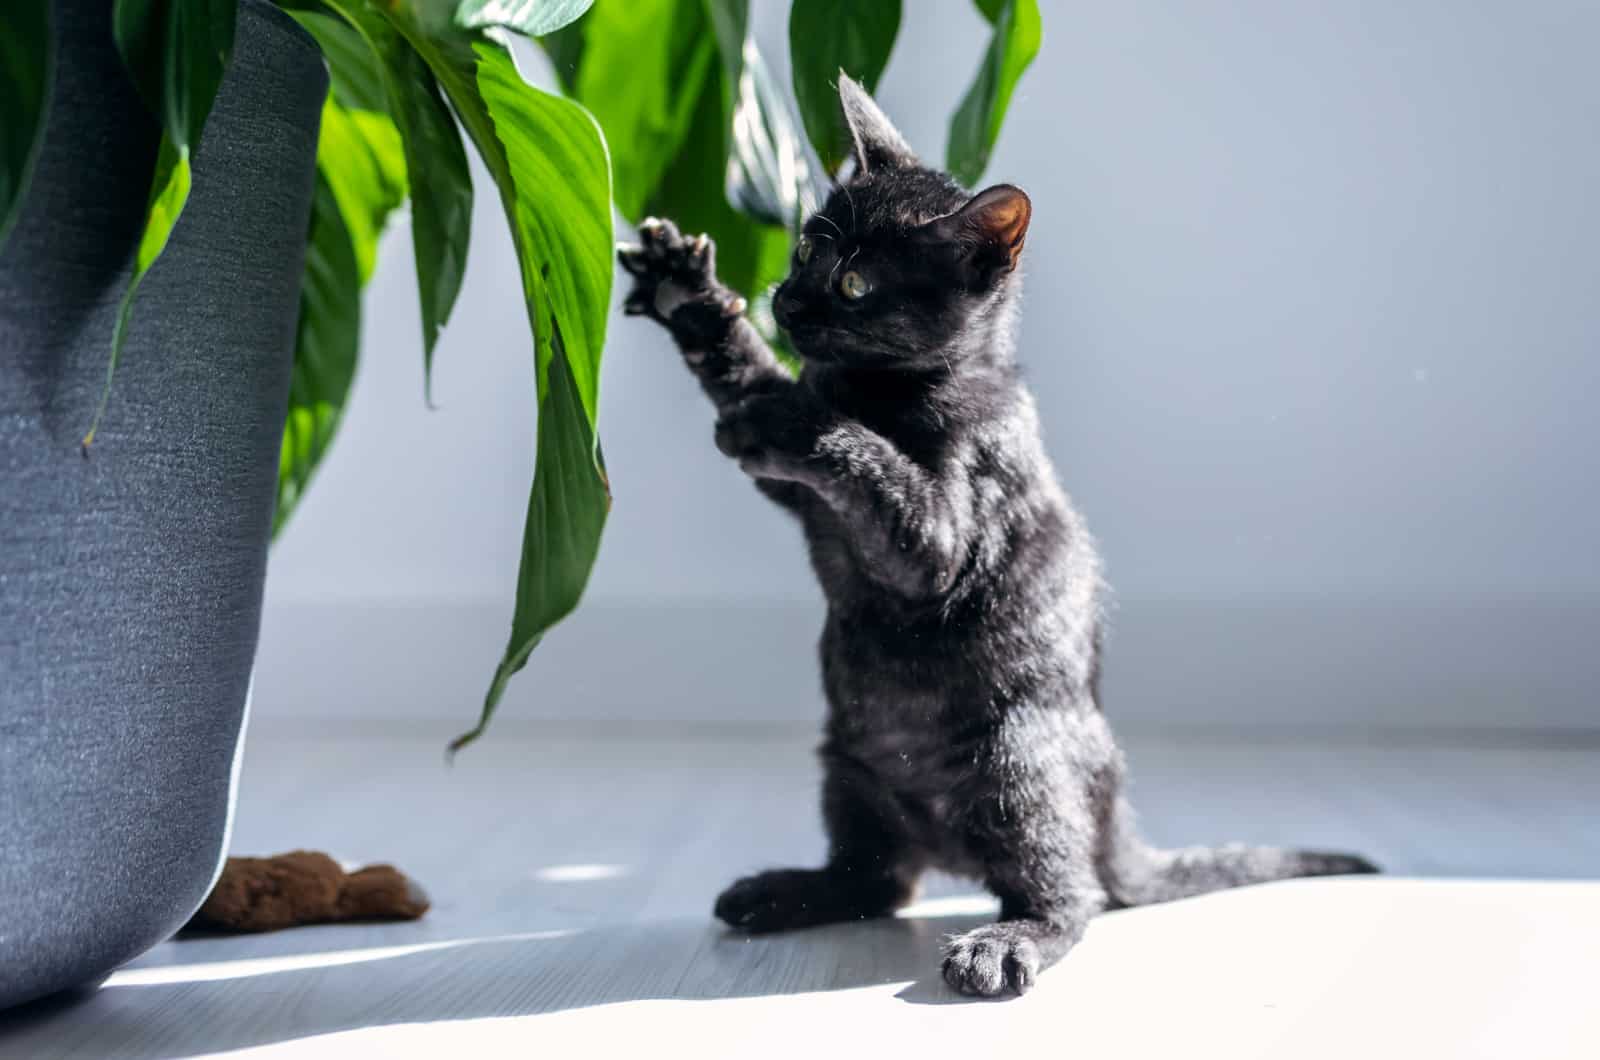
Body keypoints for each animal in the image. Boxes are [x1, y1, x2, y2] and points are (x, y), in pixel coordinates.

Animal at [614, 78, 1376, 999]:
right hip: (846, 766)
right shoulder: (799, 496)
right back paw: (783, 892)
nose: (788, 301)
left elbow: (862, 455)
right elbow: (757, 382)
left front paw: (789, 409)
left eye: (858, 282)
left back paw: (1000, 944)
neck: (883, 388)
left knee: (1070, 895)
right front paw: (690, 297)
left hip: (1018, 762)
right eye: (803, 248)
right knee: (876, 880)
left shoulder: (939, 540)